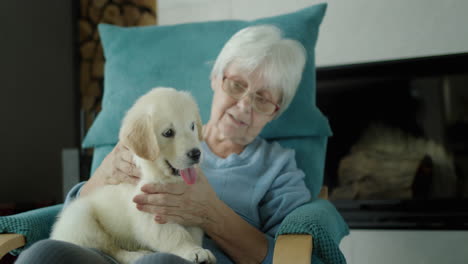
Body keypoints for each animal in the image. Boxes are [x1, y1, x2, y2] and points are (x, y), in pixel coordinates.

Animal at [50, 87, 216, 264]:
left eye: (192, 126)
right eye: (168, 132)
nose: (196, 153)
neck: (157, 173)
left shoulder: (190, 211)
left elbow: (193, 232)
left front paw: (197, 249)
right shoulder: (149, 213)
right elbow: (175, 235)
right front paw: (193, 251)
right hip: (81, 218)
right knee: (112, 249)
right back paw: (138, 255)